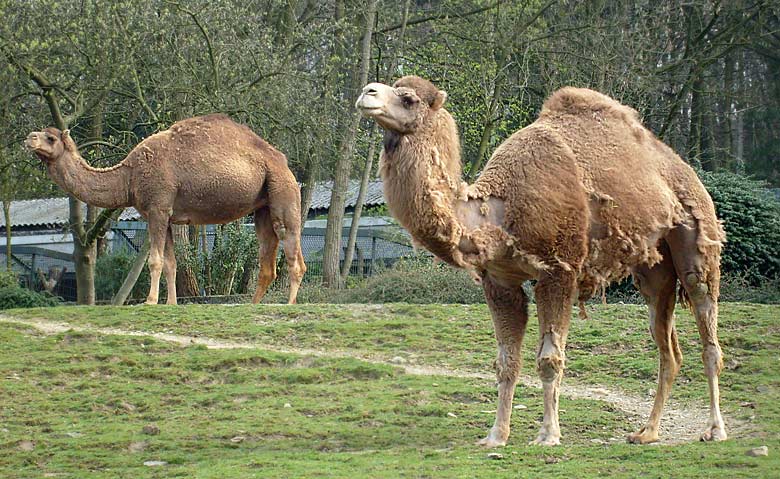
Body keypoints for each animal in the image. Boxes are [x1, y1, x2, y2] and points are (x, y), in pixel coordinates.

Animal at [25, 114, 304, 306]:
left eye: (51, 138)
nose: (30, 138)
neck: (129, 176)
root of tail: (282, 161)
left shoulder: (157, 207)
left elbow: (155, 260)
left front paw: (149, 301)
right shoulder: (165, 214)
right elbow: (171, 263)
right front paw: (170, 303)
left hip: (283, 190)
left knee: (291, 246)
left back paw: (290, 304)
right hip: (263, 207)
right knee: (267, 257)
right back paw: (252, 305)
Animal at [356, 77, 728, 448]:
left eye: (408, 98)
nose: (366, 92)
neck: (497, 212)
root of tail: (685, 170)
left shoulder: (559, 271)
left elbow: (549, 359)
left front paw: (548, 434)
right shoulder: (499, 281)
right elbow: (506, 362)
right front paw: (496, 436)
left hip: (697, 240)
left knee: (706, 325)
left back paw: (714, 429)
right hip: (652, 268)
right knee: (668, 347)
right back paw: (647, 432)